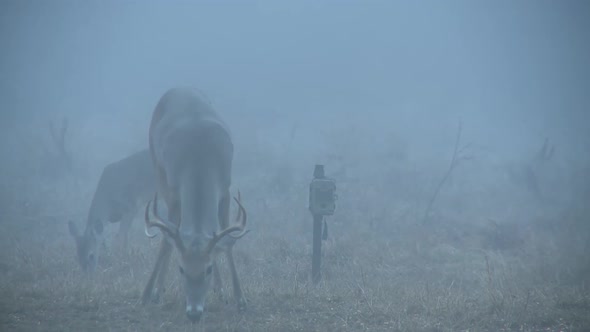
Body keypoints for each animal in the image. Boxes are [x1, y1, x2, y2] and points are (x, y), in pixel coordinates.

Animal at [144, 87, 250, 322]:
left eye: (207, 269)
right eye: (181, 269)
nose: (194, 312)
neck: (199, 158)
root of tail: (178, 88)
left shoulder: (225, 188)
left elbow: (227, 240)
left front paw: (240, 299)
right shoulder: (174, 192)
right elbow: (167, 241)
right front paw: (151, 292)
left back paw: (221, 290)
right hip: (158, 169)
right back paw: (153, 291)